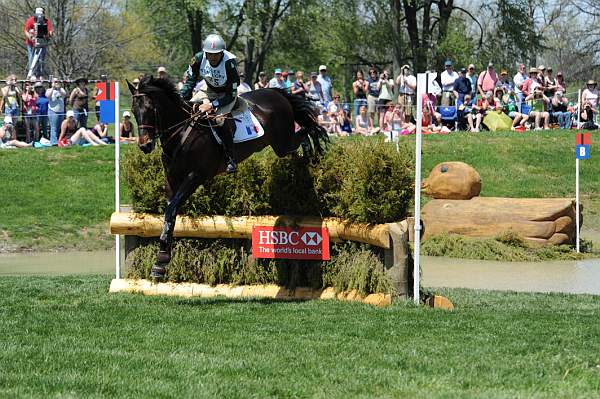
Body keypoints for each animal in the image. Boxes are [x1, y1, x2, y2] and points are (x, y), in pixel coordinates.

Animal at [126, 76, 328, 282]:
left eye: (150, 109)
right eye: (134, 111)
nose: (145, 145)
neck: (181, 132)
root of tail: (275, 92)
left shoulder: (195, 176)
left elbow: (171, 210)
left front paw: (162, 258)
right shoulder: (171, 179)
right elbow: (170, 212)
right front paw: (161, 261)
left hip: (282, 142)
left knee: (305, 129)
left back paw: (313, 152)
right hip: (281, 146)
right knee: (299, 138)